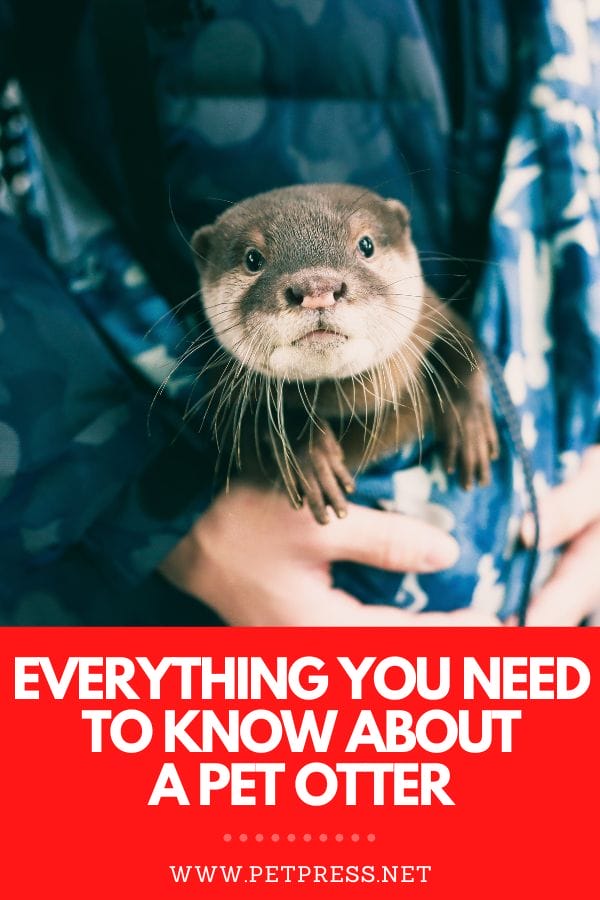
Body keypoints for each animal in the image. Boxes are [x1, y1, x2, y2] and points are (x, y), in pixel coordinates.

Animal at [191, 184, 498, 524]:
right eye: (252, 258)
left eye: (366, 245)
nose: (316, 287)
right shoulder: (218, 396)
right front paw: (312, 459)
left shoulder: (434, 315)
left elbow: (464, 349)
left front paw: (470, 427)